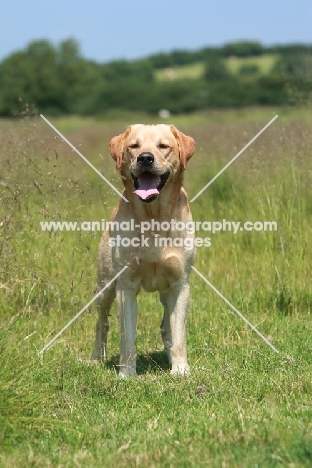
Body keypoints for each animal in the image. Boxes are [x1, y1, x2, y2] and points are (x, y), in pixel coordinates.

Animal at [91, 124, 196, 376]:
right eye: (134, 146)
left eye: (163, 146)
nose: (145, 158)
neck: (154, 218)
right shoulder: (126, 286)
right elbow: (127, 337)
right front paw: (126, 373)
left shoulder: (180, 284)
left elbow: (179, 334)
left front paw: (180, 369)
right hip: (105, 286)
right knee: (102, 323)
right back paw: (96, 358)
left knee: (166, 326)